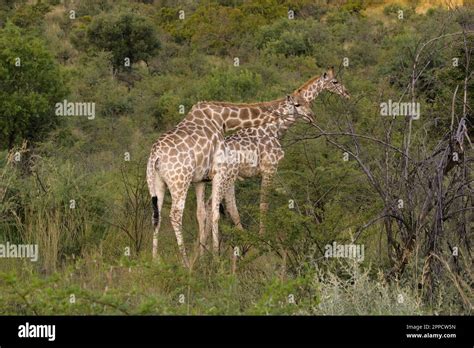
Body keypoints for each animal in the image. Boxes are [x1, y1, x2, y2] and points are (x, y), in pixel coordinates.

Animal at [145, 93, 314, 266]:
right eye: (297, 104)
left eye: (307, 102)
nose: (311, 116)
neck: (222, 119)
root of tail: (155, 156)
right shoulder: (220, 171)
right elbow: (216, 213)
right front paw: (216, 256)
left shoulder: (200, 179)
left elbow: (202, 213)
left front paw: (203, 256)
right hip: (180, 181)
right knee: (175, 215)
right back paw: (185, 262)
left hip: (157, 183)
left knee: (156, 215)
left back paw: (154, 260)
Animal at [202, 66, 350, 251]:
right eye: (335, 81)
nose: (347, 93)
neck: (275, 129)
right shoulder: (269, 168)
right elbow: (264, 204)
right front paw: (264, 241)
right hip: (226, 178)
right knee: (214, 206)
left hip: (228, 179)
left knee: (214, 206)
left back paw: (204, 248)